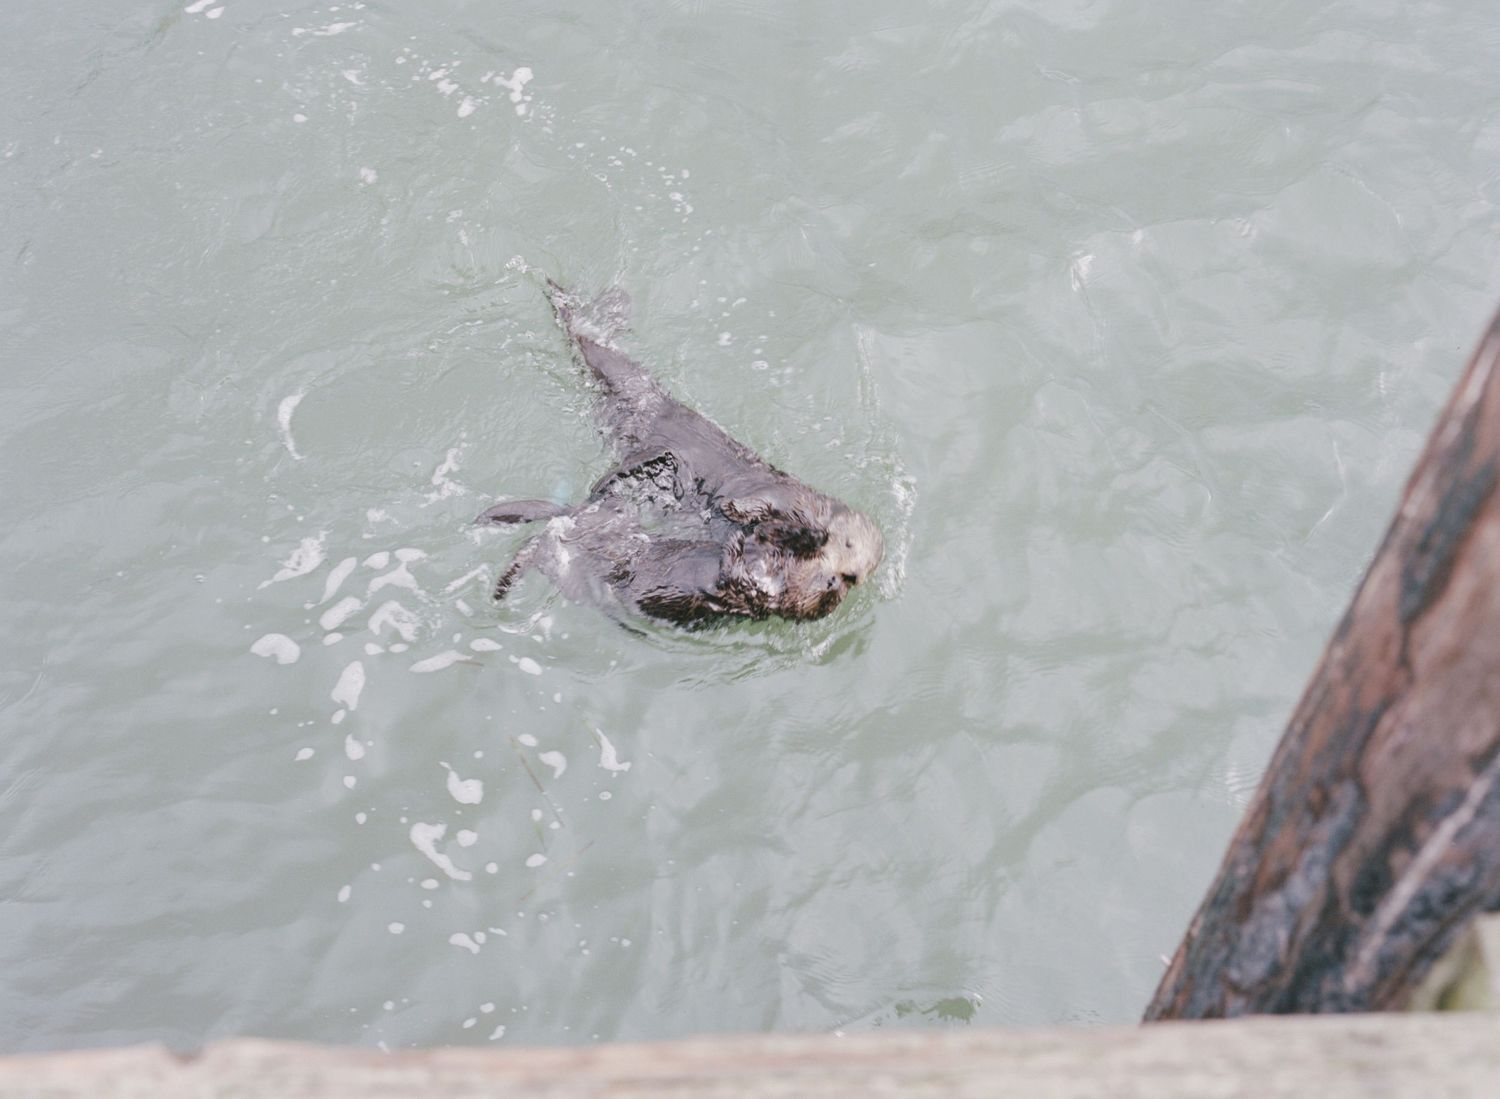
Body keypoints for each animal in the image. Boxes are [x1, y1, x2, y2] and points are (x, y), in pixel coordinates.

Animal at [474, 282, 884, 625]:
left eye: (850, 570)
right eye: (847, 545)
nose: (843, 576)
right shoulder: (788, 499)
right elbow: (763, 509)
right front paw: (745, 517)